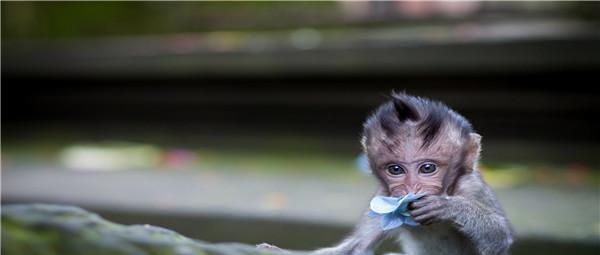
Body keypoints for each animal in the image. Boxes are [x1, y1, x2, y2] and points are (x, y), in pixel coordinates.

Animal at [260, 93, 512, 255]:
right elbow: (356, 247)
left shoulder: (472, 187)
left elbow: (499, 238)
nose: (410, 189)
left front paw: (448, 207)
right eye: (396, 169)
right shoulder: (382, 196)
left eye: (427, 168)